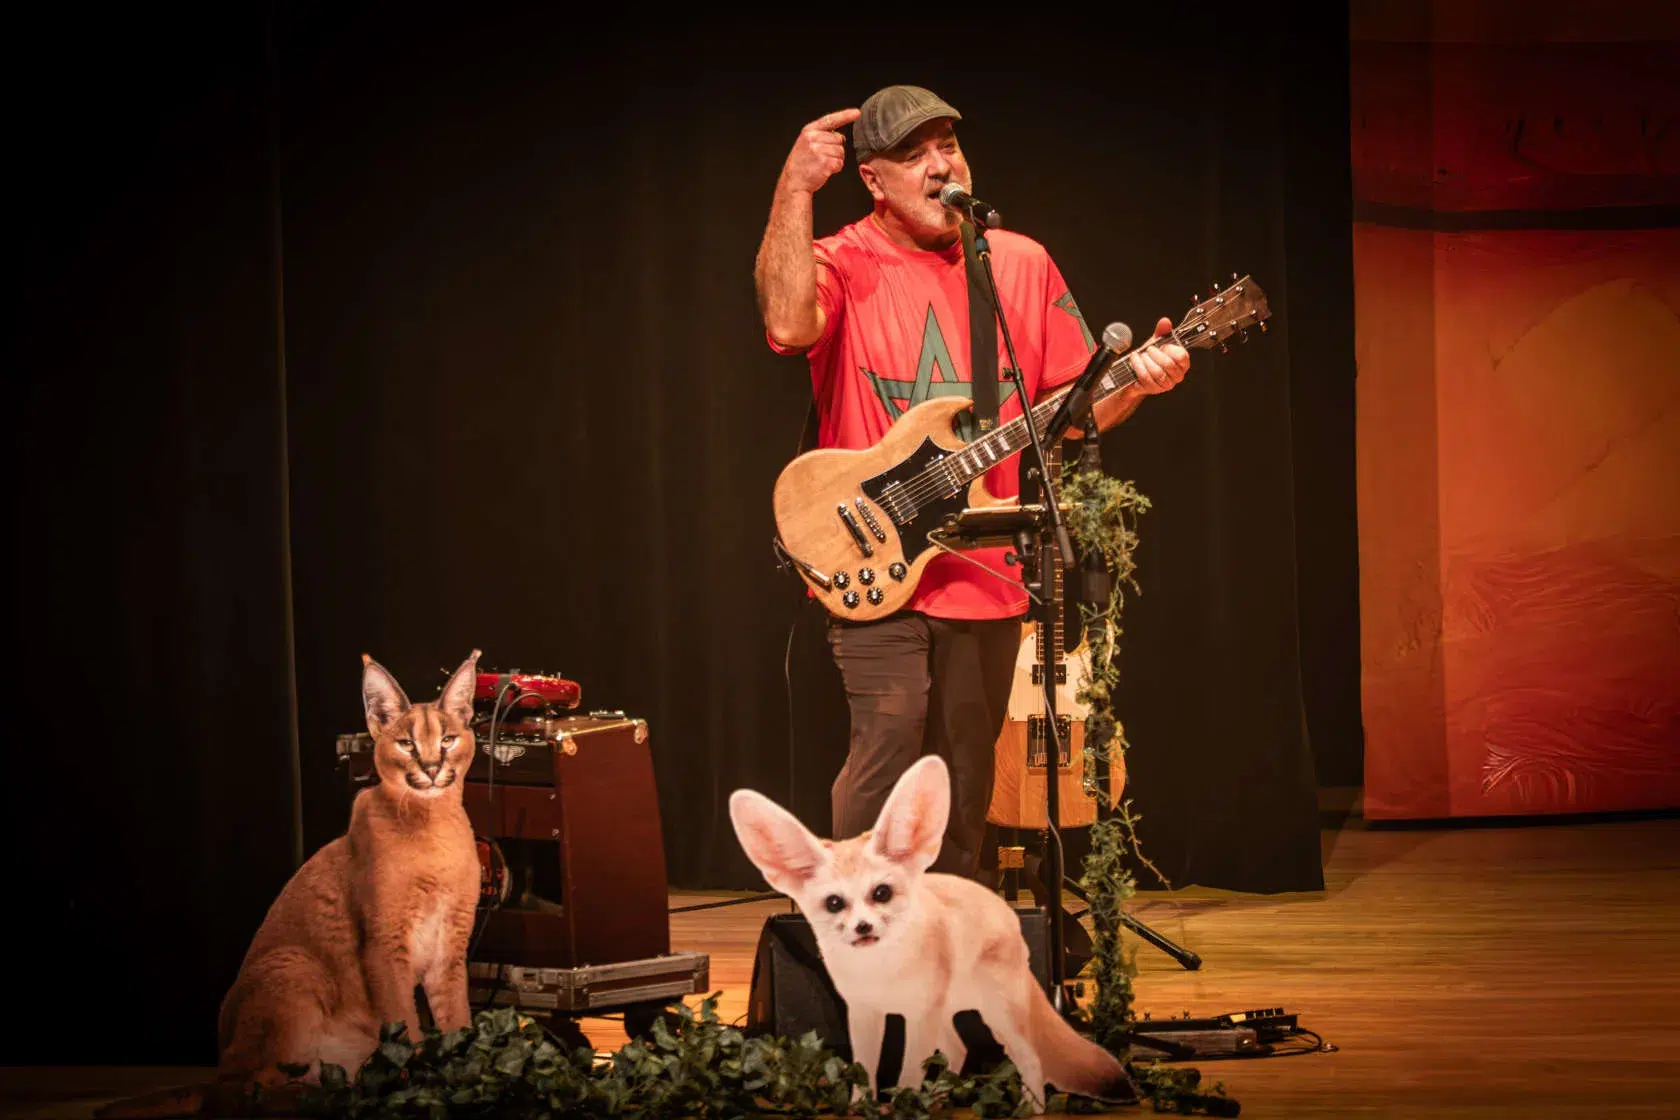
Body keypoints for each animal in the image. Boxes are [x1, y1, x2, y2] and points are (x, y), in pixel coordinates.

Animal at [728, 754, 1131, 1113]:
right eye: (834, 903)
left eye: (881, 893)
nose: (863, 927)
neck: (881, 970)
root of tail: (1005, 907)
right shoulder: (865, 1013)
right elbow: (864, 1071)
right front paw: (861, 1107)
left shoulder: (918, 1015)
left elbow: (908, 1073)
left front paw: (903, 1105)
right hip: (949, 1012)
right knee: (960, 1049)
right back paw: (939, 1097)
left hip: (997, 1014)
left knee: (1031, 1058)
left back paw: (1029, 1109)